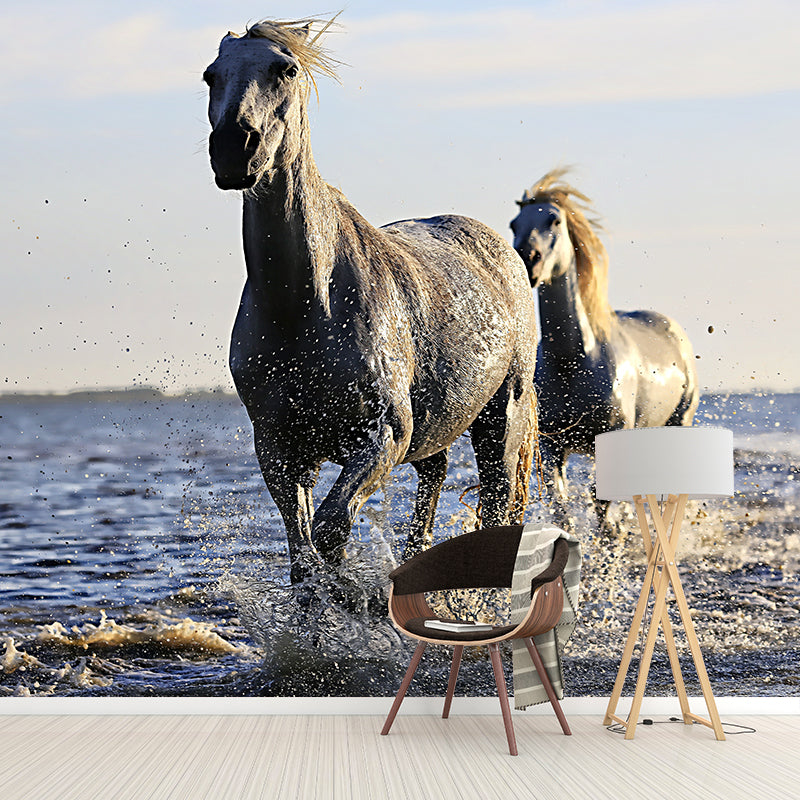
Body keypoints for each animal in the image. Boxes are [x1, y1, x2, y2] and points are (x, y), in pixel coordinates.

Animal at [203, 18, 537, 603]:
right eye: (210, 75)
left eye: (285, 69)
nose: (233, 148)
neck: (305, 304)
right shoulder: (281, 448)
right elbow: (304, 553)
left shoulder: (382, 436)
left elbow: (332, 531)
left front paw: (352, 602)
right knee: (431, 493)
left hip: (502, 419)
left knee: (497, 506)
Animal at [510, 168, 699, 530]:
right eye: (514, 223)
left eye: (554, 220)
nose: (527, 259)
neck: (572, 360)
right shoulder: (553, 447)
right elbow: (562, 506)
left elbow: (601, 508)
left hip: (679, 422)